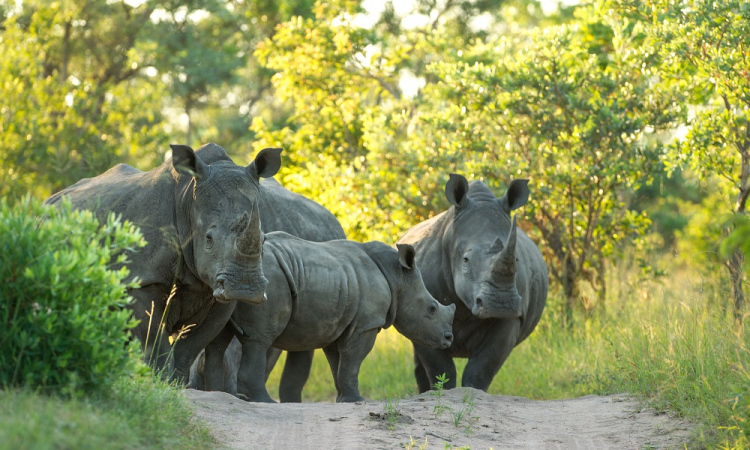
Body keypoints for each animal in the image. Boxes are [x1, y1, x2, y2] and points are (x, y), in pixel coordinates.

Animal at [44, 143, 282, 382]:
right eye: (208, 238)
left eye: (263, 239)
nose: (245, 289)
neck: (188, 201)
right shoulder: (142, 277)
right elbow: (155, 343)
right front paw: (160, 381)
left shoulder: (219, 292)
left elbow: (189, 348)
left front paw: (176, 383)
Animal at [203, 233, 456, 403]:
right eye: (432, 309)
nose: (449, 339)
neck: (398, 277)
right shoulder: (366, 324)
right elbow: (352, 361)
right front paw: (358, 401)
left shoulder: (340, 323)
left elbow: (339, 364)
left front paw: (345, 399)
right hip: (269, 282)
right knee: (259, 340)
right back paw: (264, 401)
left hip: (233, 282)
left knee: (218, 338)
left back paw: (215, 394)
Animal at [396, 174, 547, 392]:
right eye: (465, 260)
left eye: (517, 260)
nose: (501, 304)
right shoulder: (421, 309)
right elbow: (440, 367)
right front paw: (444, 392)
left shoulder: (514, 316)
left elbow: (481, 369)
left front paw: (473, 392)